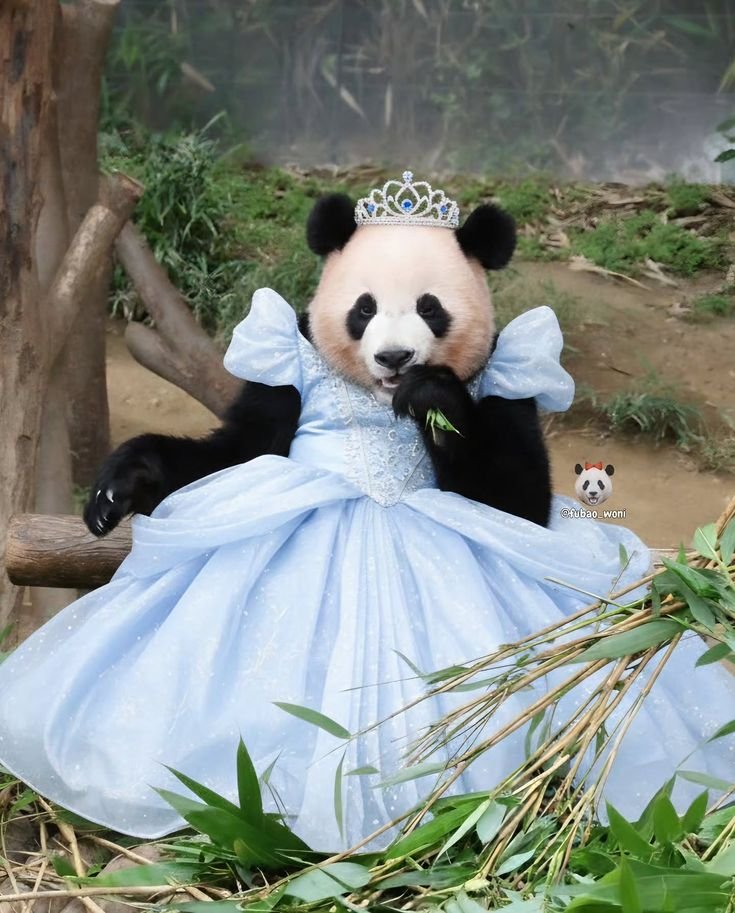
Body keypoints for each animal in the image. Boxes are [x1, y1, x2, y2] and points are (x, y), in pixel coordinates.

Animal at [84, 192, 553, 535]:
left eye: (429, 308)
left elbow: (517, 503)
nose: (394, 357)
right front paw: (120, 487)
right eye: (365, 308)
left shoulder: (505, 372)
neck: (381, 401)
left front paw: (432, 396)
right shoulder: (283, 377)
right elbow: (236, 457)